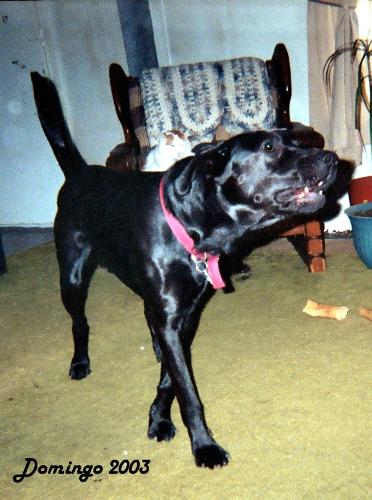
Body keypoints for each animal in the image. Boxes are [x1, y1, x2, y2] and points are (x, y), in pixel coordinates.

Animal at [29, 73, 338, 468]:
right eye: (269, 147)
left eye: (296, 142)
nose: (332, 158)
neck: (190, 223)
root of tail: (81, 173)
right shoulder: (170, 320)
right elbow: (187, 393)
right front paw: (204, 446)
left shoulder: (183, 317)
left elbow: (169, 380)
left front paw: (158, 418)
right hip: (72, 277)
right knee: (79, 322)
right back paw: (80, 362)